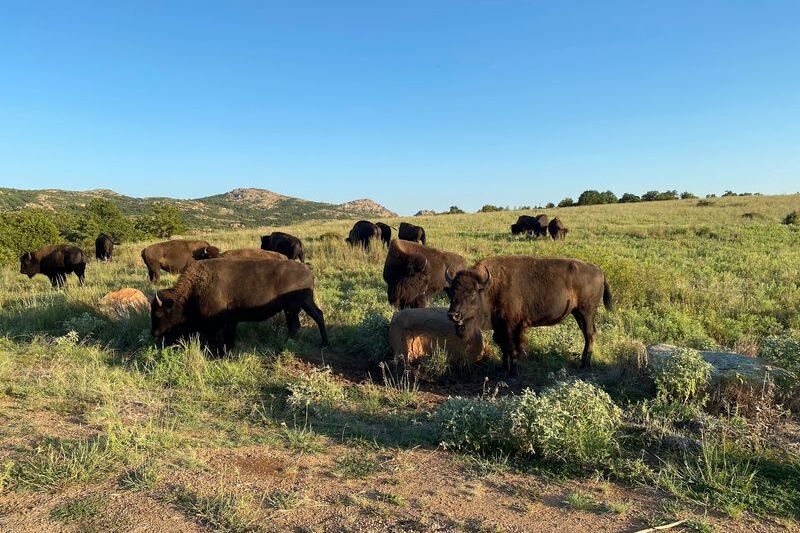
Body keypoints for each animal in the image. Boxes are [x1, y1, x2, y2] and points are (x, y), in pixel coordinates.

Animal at [151, 258, 328, 353]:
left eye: (159, 314)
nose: (155, 334)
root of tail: (307, 269)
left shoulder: (218, 323)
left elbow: (218, 337)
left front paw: (220, 353)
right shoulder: (231, 321)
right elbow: (229, 335)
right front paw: (229, 349)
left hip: (293, 307)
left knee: (296, 325)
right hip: (303, 303)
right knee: (316, 316)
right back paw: (322, 343)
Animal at [445, 256, 611, 374]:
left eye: (472, 293)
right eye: (452, 293)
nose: (454, 315)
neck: (491, 286)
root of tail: (599, 271)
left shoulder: (511, 326)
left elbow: (512, 346)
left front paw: (513, 372)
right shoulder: (499, 326)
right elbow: (502, 345)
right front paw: (502, 368)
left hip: (586, 312)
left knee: (590, 334)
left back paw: (584, 365)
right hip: (578, 313)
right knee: (589, 334)